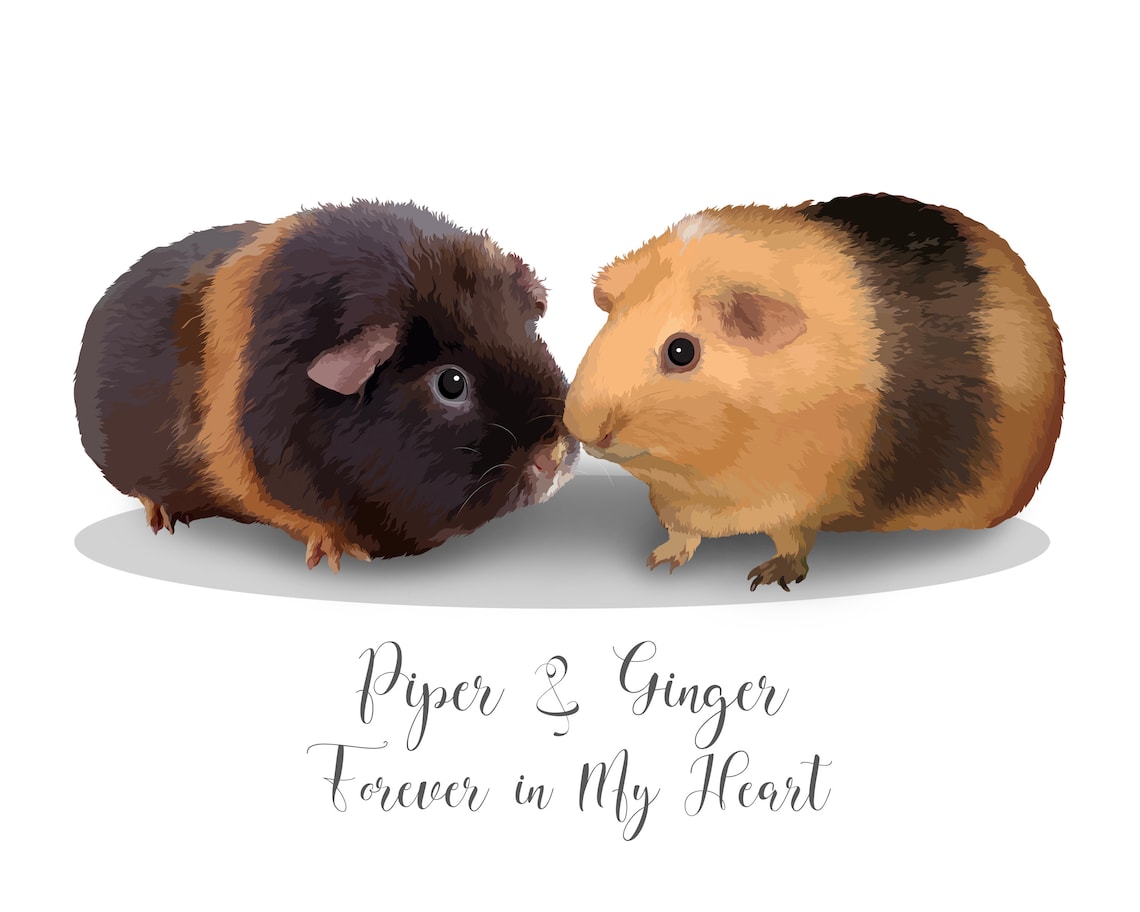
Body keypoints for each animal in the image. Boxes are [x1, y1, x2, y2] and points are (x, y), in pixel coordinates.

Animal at [565, 194, 1064, 590]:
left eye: (681, 351)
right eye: (608, 327)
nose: (586, 430)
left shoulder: (797, 501)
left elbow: (793, 542)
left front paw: (769, 578)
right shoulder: (676, 504)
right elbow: (680, 534)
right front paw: (659, 563)